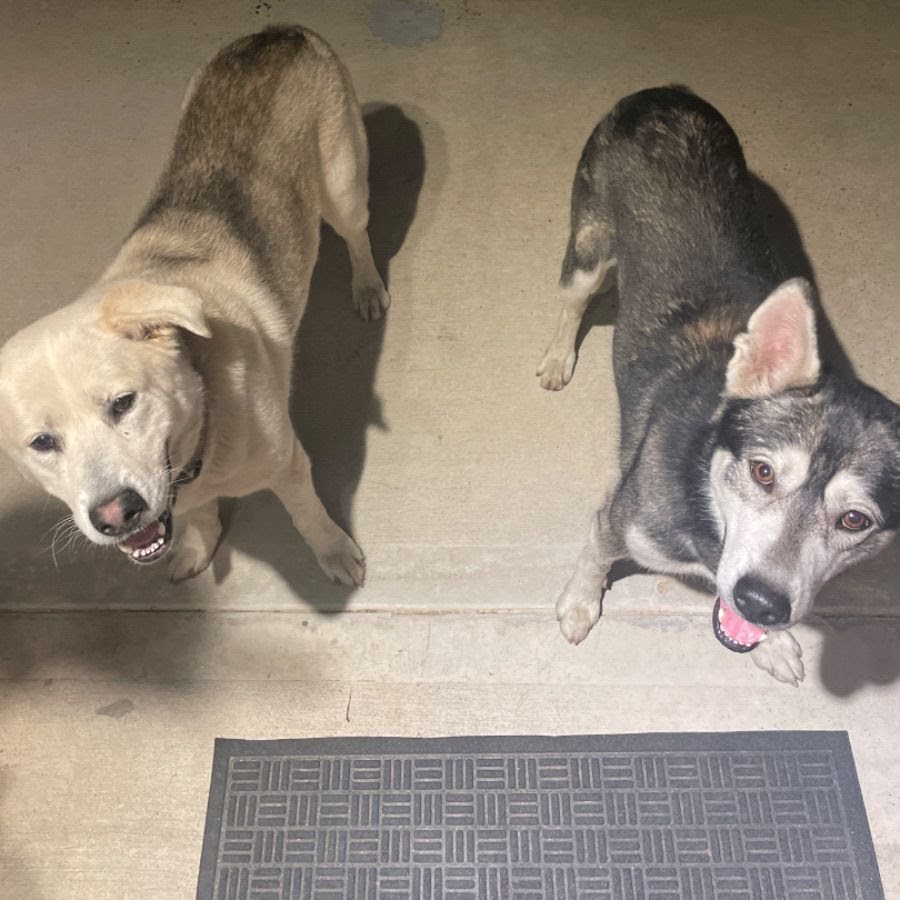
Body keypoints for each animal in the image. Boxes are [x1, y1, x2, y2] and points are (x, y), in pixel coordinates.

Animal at [0, 26, 389, 584]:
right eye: (42, 443)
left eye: (124, 403)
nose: (116, 516)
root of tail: (281, 33)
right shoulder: (182, 494)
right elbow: (200, 516)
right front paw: (200, 545)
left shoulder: (290, 466)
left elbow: (308, 517)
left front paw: (334, 553)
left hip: (345, 190)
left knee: (358, 237)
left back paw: (367, 287)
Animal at [537, 87, 900, 684]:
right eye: (763, 472)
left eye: (855, 519)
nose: (762, 602)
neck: (705, 491)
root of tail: (665, 93)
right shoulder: (620, 516)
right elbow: (594, 554)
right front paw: (579, 604)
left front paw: (772, 643)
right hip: (589, 244)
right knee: (574, 299)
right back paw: (557, 355)